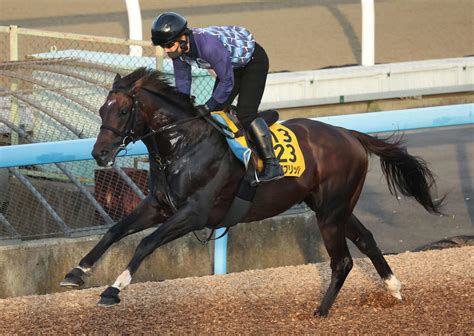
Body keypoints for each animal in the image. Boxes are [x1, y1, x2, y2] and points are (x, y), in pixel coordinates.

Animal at [60, 67, 444, 316]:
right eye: (102, 109)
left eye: (124, 109)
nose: (100, 153)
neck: (182, 145)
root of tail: (349, 134)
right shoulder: (159, 205)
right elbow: (114, 231)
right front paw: (76, 273)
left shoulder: (194, 214)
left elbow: (145, 243)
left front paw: (113, 289)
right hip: (331, 207)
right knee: (366, 239)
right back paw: (393, 288)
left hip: (331, 211)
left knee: (343, 260)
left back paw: (320, 312)